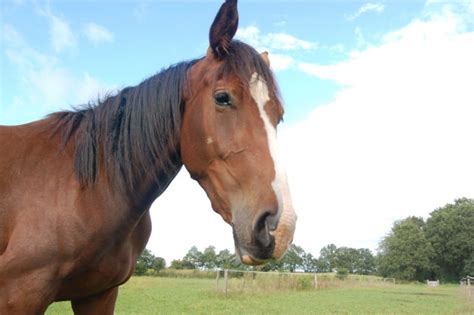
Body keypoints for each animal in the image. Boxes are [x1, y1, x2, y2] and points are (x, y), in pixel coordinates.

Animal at [0, 0, 296, 314]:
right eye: (222, 97)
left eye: (279, 115)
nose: (280, 227)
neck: (87, 189)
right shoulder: (21, 294)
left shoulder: (99, 294)